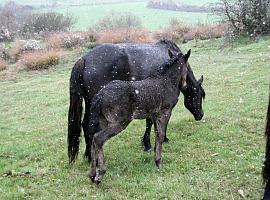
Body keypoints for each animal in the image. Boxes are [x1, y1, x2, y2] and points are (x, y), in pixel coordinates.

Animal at [68, 39, 205, 163]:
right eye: (201, 95)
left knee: (85, 124)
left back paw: (88, 155)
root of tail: (84, 59)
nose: (200, 115)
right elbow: (152, 122)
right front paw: (153, 142)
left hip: (91, 104)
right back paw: (91, 157)